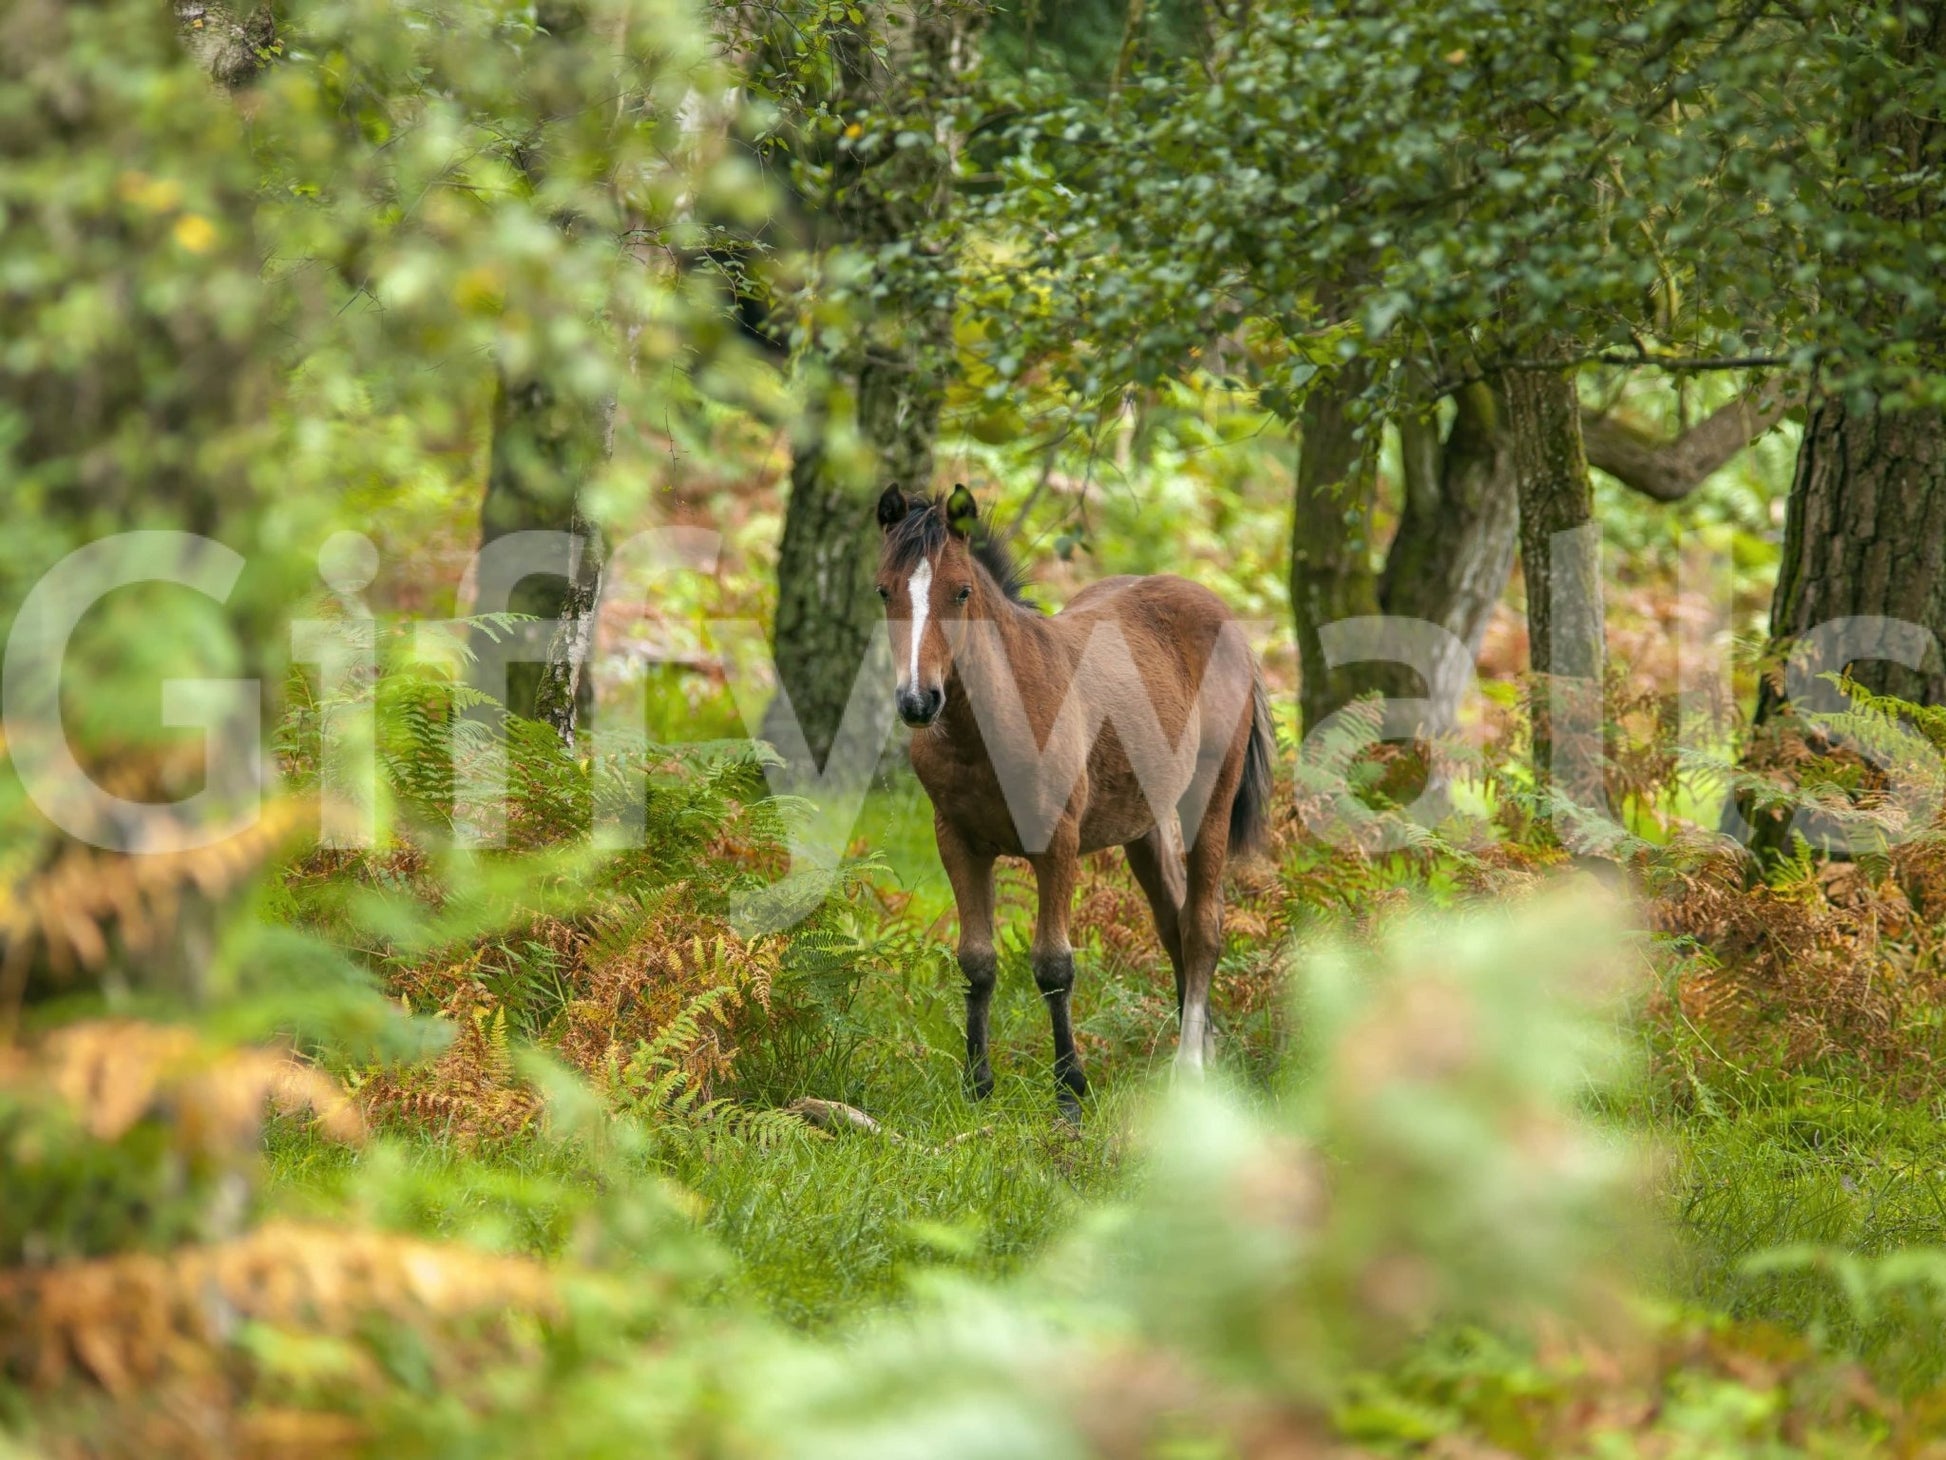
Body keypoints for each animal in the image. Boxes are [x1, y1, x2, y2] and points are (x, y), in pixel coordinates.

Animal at [873, 483, 1276, 1119]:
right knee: (1173, 921)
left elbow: (1054, 966)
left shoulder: (1057, 842)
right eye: (884, 589)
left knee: (1202, 926)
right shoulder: (956, 840)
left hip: (1207, 802)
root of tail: (1226, 619)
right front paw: (977, 1088)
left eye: (961, 591)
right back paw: (1206, 1053)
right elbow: (976, 961)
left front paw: (1069, 1093)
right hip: (1143, 825)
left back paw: (1189, 1069)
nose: (918, 701)